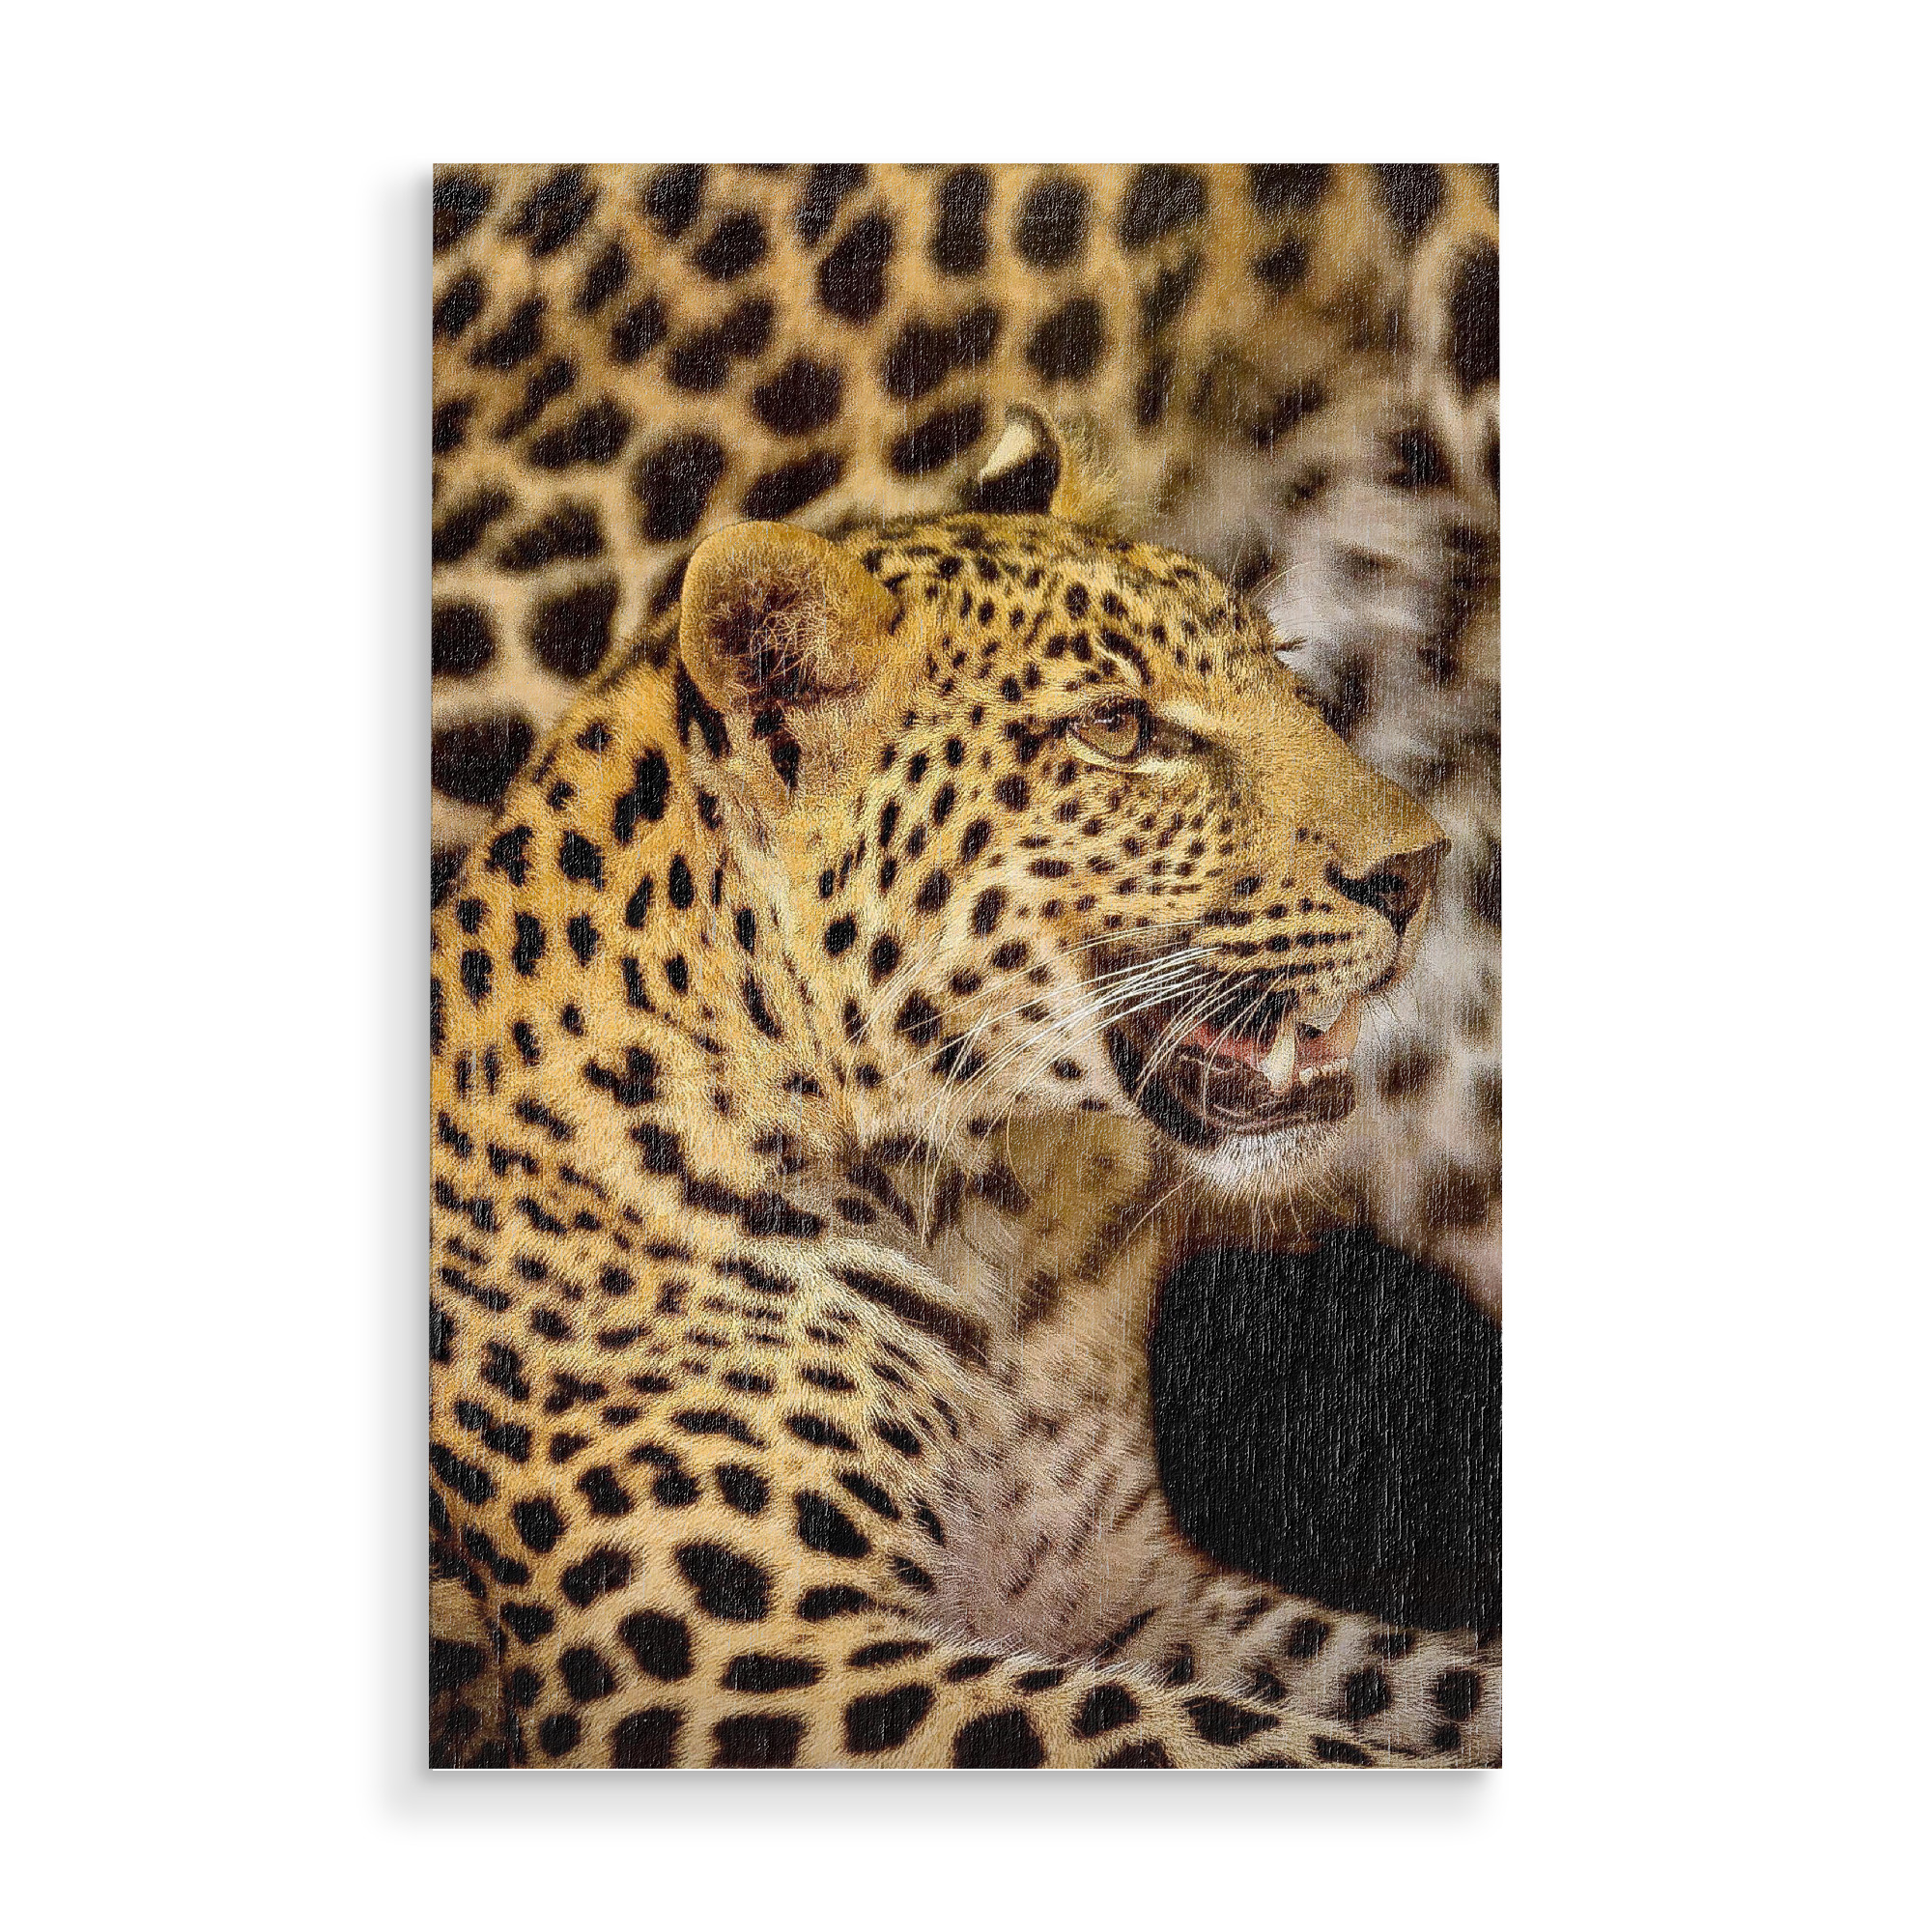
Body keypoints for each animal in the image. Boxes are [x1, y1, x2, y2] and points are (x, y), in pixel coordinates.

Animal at [429, 447, 1499, 1768]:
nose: (1418, 867)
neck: (990, 1216)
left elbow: (1410, 1680)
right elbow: (1231, 1740)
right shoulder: (737, 1663)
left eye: (1283, 671)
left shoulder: (1131, 1593)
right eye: (1115, 727)